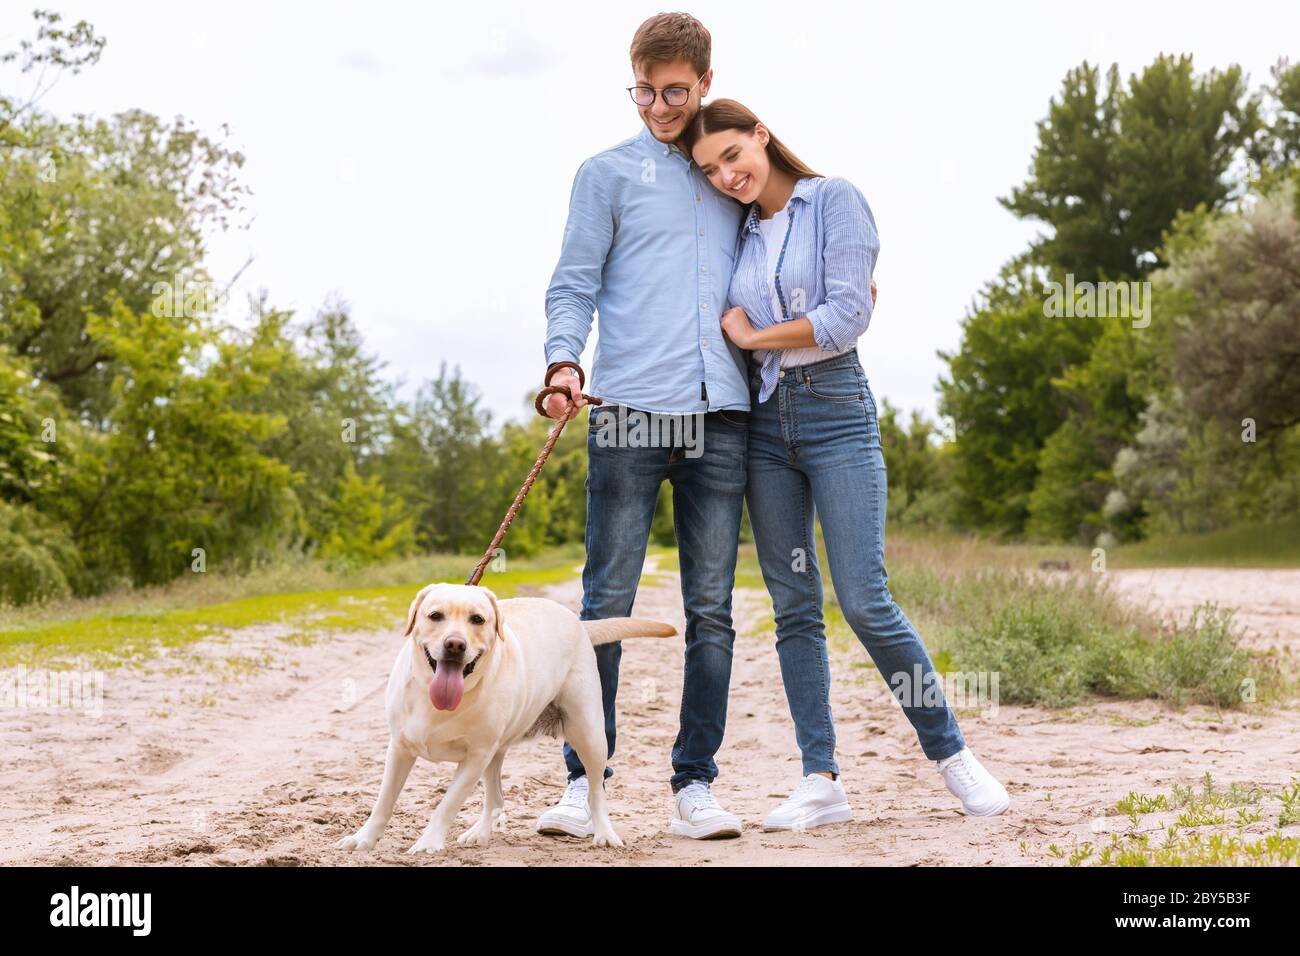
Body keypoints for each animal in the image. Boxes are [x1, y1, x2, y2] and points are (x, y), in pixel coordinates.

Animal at [335, 580, 676, 858]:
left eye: (477, 619)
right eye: (435, 616)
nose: (455, 644)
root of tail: (577, 623)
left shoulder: (474, 757)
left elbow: (446, 804)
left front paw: (428, 843)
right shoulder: (399, 749)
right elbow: (383, 802)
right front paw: (363, 839)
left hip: (588, 735)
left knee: (596, 792)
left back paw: (605, 834)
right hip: (496, 752)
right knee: (496, 799)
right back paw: (479, 833)